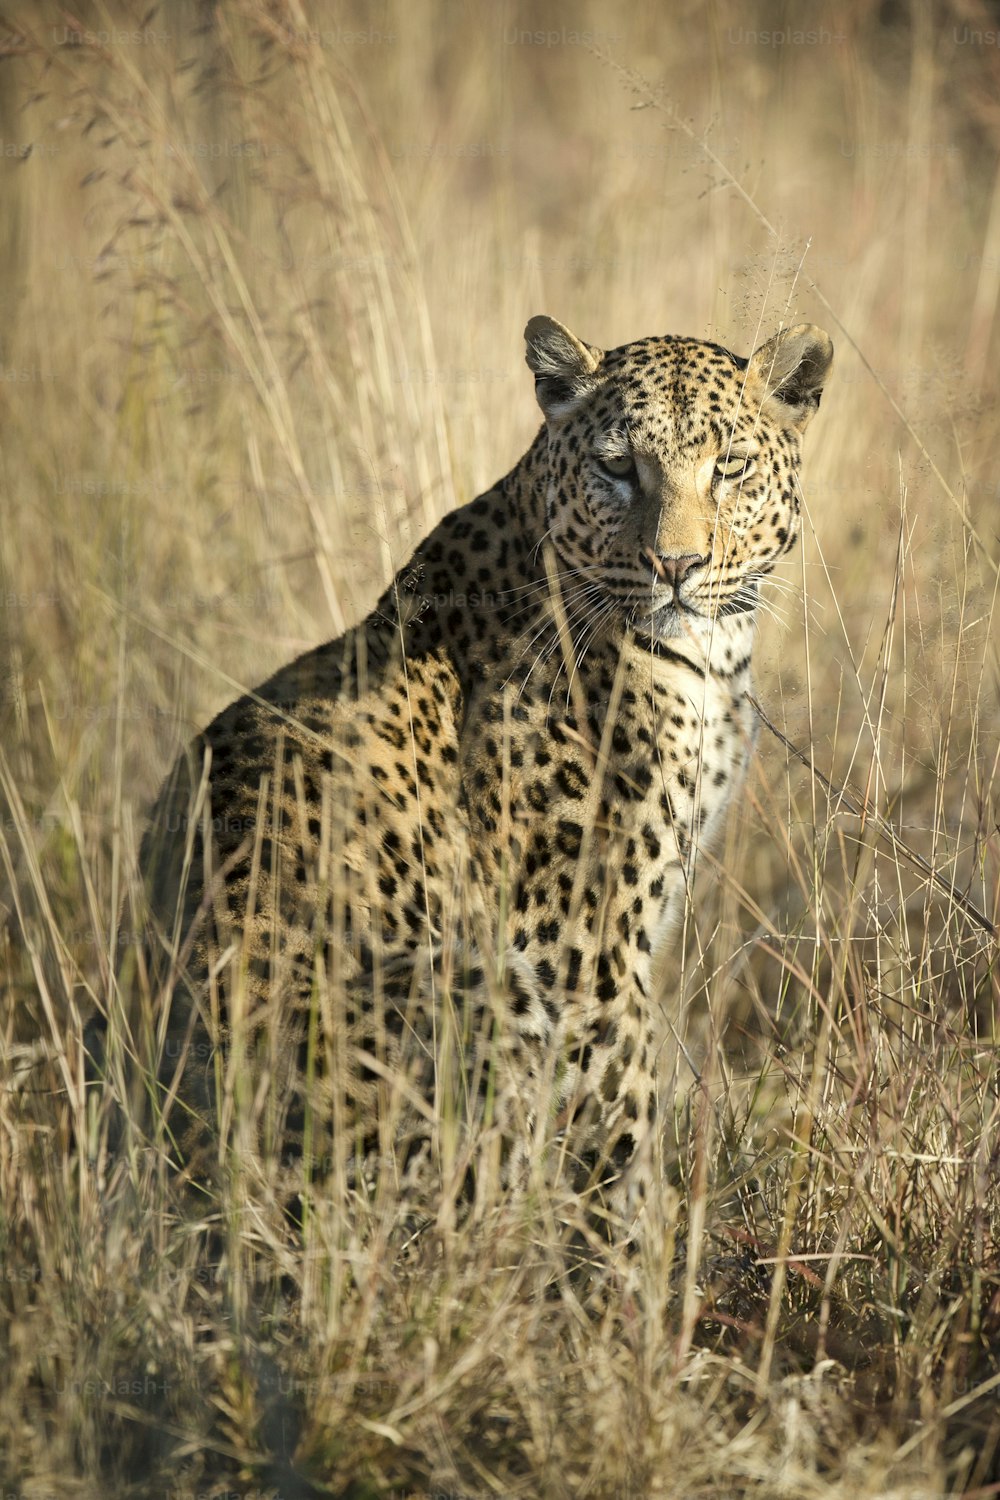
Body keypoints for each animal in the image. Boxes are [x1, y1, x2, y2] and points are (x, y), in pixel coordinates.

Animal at [103, 316, 839, 1242]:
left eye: (731, 465)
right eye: (618, 466)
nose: (676, 565)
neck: (707, 658)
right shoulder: (582, 948)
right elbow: (625, 1121)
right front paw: (645, 1260)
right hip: (479, 991)